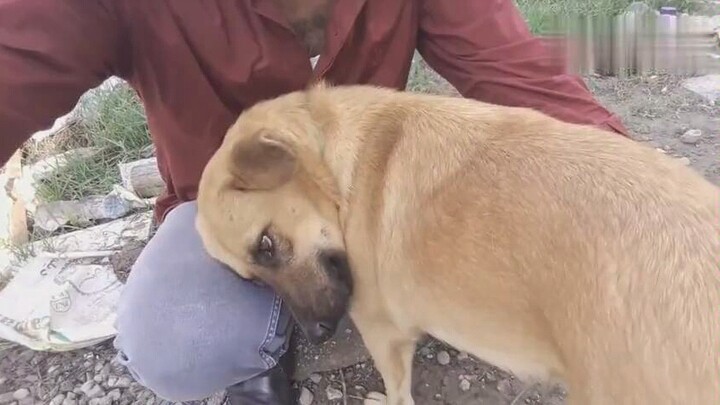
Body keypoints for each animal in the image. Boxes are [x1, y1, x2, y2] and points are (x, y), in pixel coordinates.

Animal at [197, 83, 720, 402]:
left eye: (266, 245)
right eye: (252, 277)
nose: (318, 333)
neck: (337, 162)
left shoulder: (383, 334)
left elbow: (399, 392)